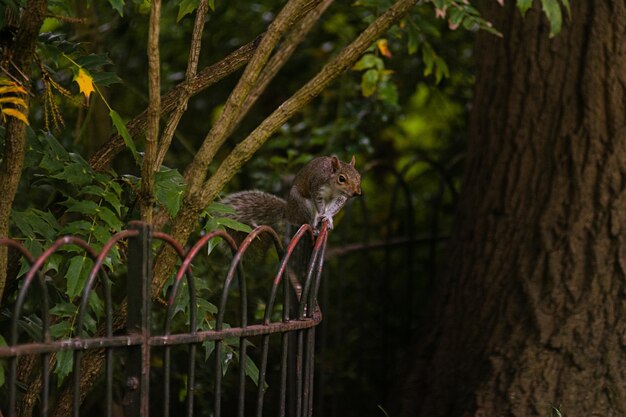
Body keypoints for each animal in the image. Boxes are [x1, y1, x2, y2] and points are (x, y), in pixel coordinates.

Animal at [222, 154, 364, 231]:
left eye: (359, 176)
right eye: (342, 178)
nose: (357, 193)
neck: (334, 188)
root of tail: (289, 211)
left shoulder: (341, 197)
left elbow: (335, 208)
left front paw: (328, 217)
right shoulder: (317, 187)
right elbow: (319, 203)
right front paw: (321, 214)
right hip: (302, 205)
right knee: (306, 220)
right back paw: (314, 226)